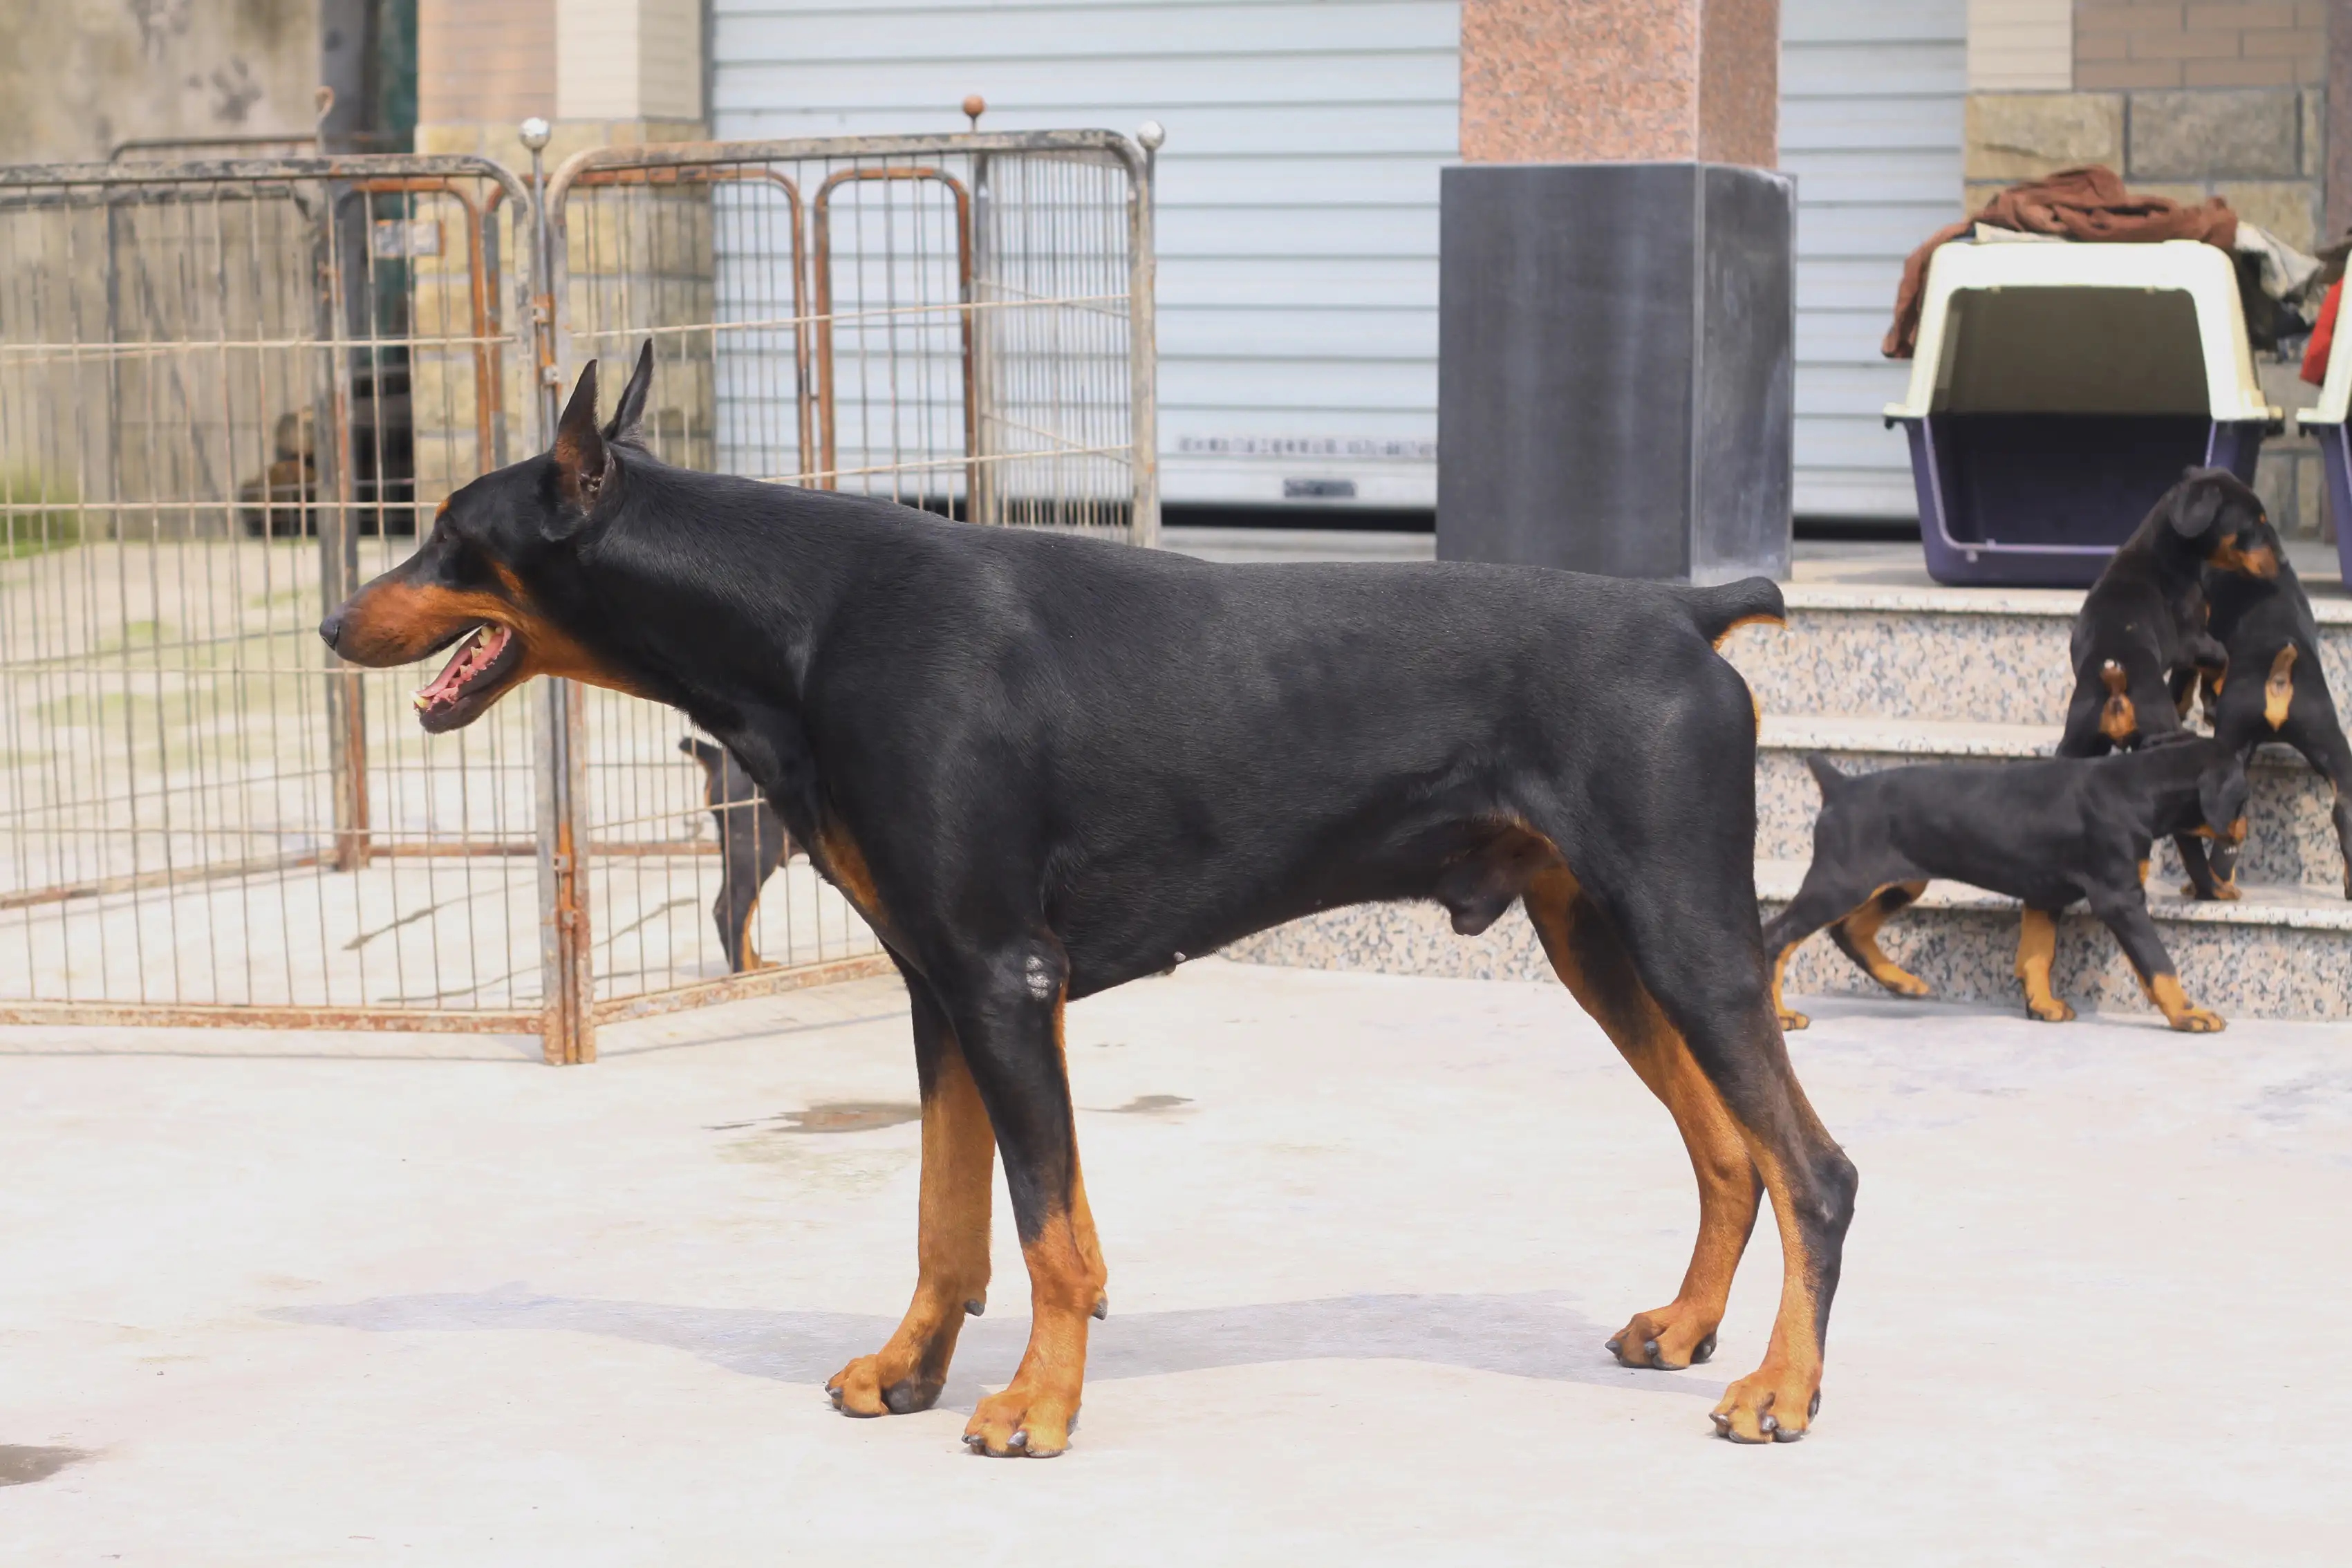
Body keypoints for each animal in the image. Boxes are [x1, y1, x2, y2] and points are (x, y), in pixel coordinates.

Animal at [1768, 743, 2239, 1034]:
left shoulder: (2045, 894)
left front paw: (2043, 1006)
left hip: (1900, 881)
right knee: (1778, 935)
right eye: (2244, 797)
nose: (2242, 833)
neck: (2135, 786)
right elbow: (2159, 963)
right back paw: (1780, 1015)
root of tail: (1840, 786)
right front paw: (2190, 1015)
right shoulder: (2120, 898)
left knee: (1848, 931)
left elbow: (2037, 955)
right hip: (1843, 881)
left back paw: (1903, 983)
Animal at [2060, 465, 2277, 902]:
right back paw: (2215, 889)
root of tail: (2116, 686)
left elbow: (2188, 677)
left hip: (2076, 744)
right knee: (2190, 842)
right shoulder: (2191, 637)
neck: (2162, 550)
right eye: (2254, 525)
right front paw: (2210, 702)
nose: (2278, 565)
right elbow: (2217, 658)